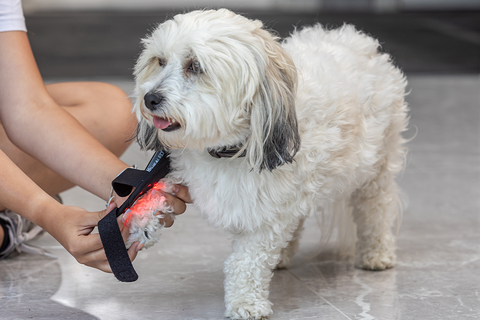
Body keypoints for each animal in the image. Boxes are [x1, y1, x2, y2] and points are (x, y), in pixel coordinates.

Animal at [132, 8, 408, 320]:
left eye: (195, 66)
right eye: (159, 61)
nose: (149, 98)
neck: (228, 149)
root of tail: (356, 38)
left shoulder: (266, 217)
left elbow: (246, 262)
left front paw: (246, 303)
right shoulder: (181, 167)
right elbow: (156, 186)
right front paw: (143, 219)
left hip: (376, 168)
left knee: (375, 211)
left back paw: (376, 253)